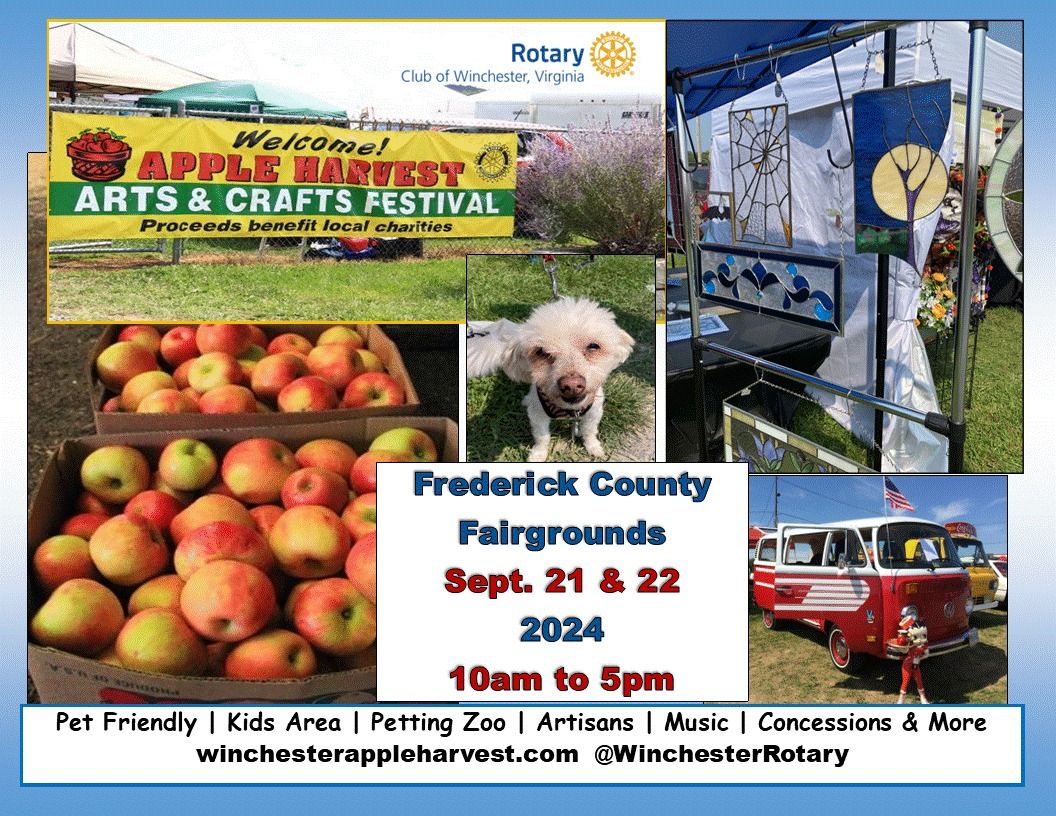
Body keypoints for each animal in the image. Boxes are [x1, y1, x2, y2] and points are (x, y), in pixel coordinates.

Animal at [470, 295, 633, 462]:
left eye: (593, 346)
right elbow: (542, 437)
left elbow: (589, 431)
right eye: (541, 352)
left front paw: (593, 447)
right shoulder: (538, 415)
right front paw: (538, 454)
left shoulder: (594, 412)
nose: (572, 385)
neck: (569, 410)